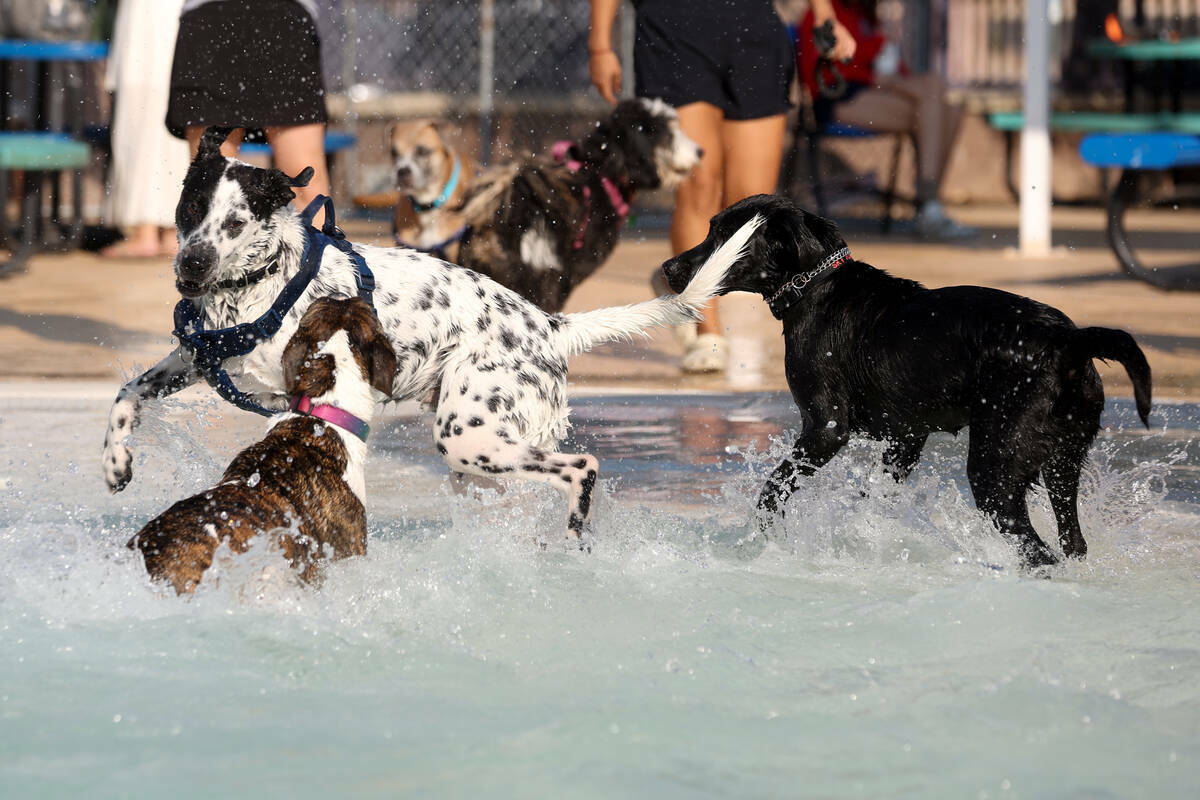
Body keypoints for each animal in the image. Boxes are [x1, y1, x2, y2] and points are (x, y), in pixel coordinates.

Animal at [103, 128, 758, 546]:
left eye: (236, 222)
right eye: (190, 208)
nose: (191, 265)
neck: (259, 282)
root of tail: (549, 327)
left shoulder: (289, 388)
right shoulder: (194, 360)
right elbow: (126, 396)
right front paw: (115, 461)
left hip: (469, 438)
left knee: (583, 466)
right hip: (482, 457)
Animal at [667, 195, 1152, 568]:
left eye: (726, 238)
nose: (669, 268)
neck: (818, 286)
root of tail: (1067, 340)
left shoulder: (825, 429)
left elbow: (773, 491)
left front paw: (763, 536)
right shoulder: (906, 439)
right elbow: (872, 495)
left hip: (996, 467)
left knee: (1038, 551)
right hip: (1063, 461)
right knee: (1072, 542)